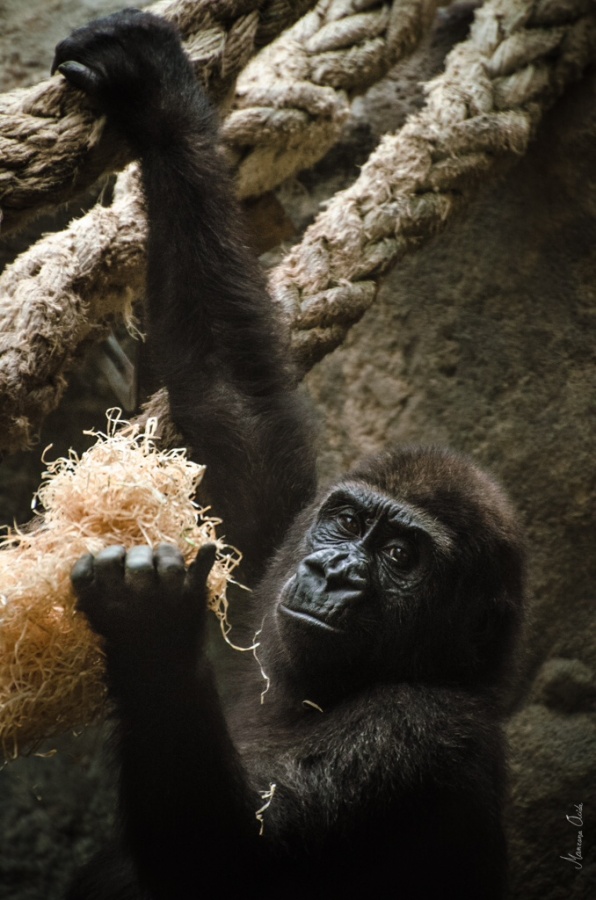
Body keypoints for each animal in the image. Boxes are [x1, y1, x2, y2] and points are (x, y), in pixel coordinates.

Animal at [54, 8, 520, 900]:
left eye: (402, 556)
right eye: (344, 523)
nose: (333, 573)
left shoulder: (419, 730)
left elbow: (233, 860)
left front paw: (148, 630)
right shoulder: (272, 547)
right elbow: (230, 396)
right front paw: (160, 104)